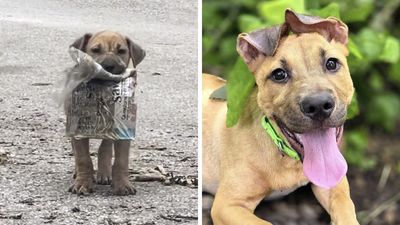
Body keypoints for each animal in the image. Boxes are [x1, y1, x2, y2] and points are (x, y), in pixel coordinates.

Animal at [67, 30, 145, 195]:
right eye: (95, 50)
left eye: (122, 51)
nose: (109, 66)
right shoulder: (77, 130)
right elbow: (83, 158)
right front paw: (82, 183)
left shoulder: (124, 130)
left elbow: (121, 160)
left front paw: (122, 184)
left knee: (105, 147)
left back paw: (104, 173)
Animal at [203, 9, 360, 224]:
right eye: (279, 75)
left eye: (331, 63)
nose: (318, 105)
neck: (286, 156)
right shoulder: (227, 205)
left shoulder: (334, 180)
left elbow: (345, 206)